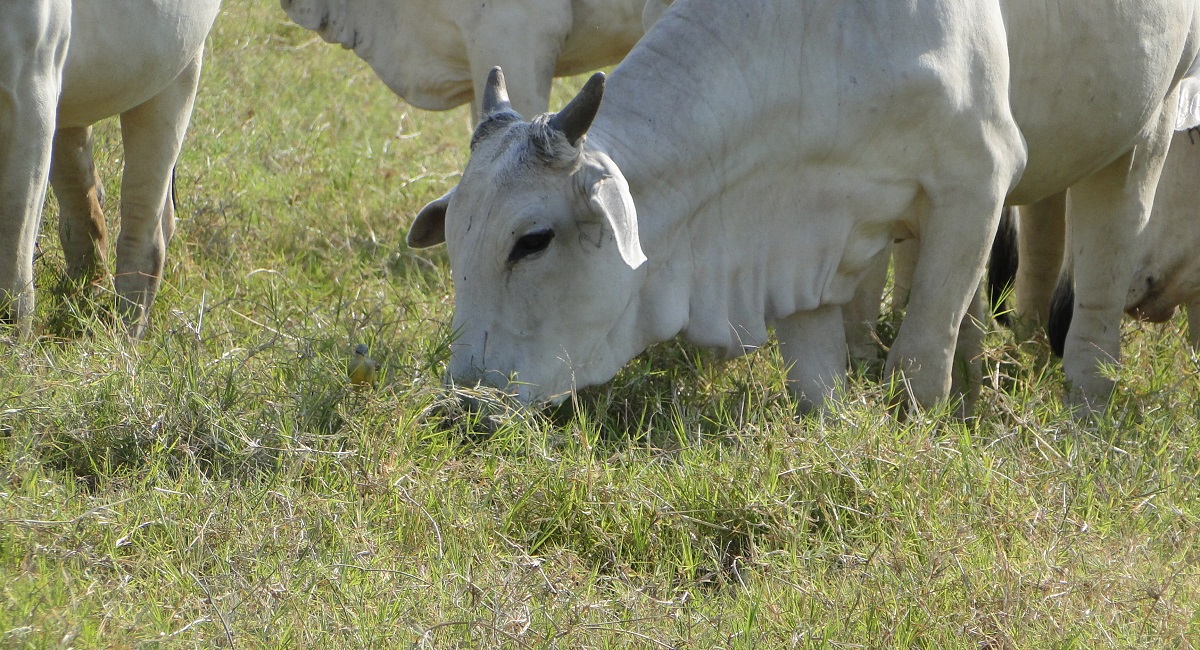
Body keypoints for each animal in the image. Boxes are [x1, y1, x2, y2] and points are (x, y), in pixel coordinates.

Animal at [0, 3, 223, 340]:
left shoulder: (29, 89)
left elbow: (13, 247)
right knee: (86, 214)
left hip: (175, 72)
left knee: (146, 229)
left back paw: (124, 334)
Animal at [408, 0, 1195, 414]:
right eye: (455, 245)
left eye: (531, 240)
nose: (461, 404)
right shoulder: (797, 234)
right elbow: (816, 374)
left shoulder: (978, 180)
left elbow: (920, 353)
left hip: (1151, 121)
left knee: (1105, 254)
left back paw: (1087, 394)